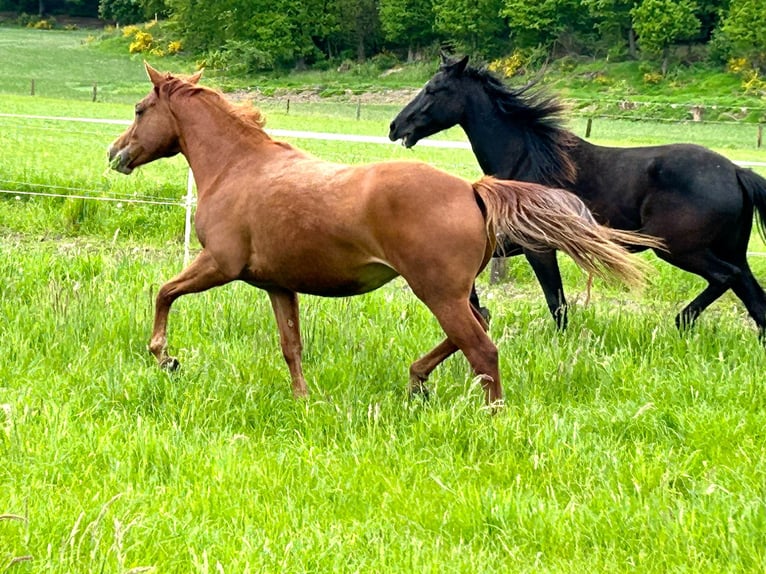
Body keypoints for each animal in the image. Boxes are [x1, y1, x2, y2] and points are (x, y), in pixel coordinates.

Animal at [108, 63, 660, 404]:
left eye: (139, 109)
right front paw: (303, 400)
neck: (239, 167)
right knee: (476, 328)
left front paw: (166, 357)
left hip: (436, 291)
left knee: (482, 347)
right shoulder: (278, 285)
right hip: (452, 291)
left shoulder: (219, 264)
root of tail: (474, 190)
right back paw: (417, 382)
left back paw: (490, 415)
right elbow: (291, 346)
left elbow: (164, 293)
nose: (116, 153)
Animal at [390, 54, 766, 340]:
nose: (395, 127)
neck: (526, 158)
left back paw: (681, 321)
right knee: (754, 298)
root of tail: (736, 171)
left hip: (680, 248)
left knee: (727, 278)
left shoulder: (539, 249)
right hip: (728, 248)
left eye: (434, 89)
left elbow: (556, 302)